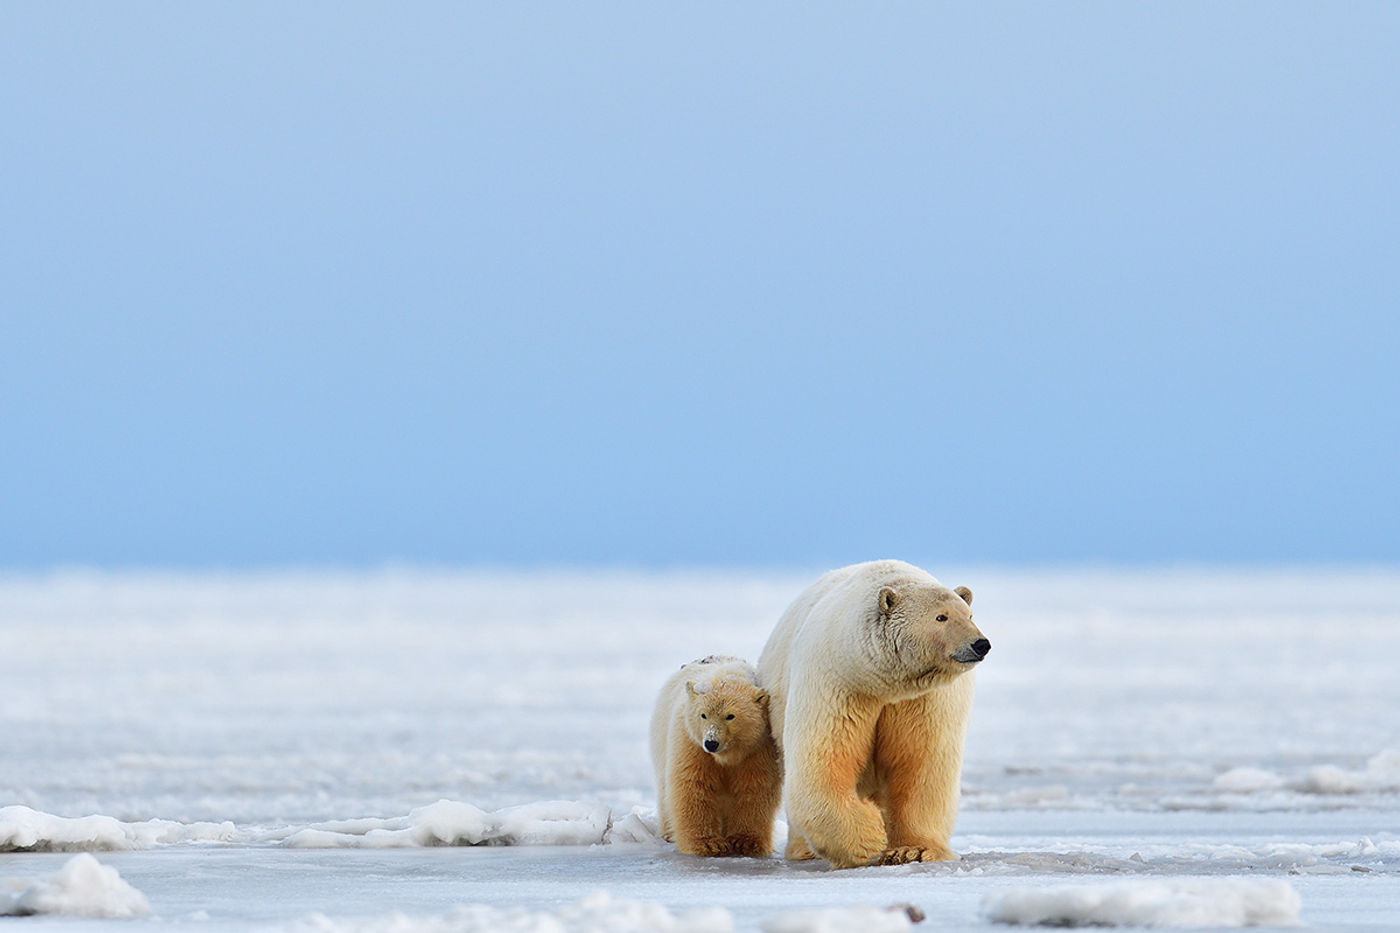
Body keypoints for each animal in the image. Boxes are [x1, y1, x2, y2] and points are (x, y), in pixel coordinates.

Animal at [646, 650, 784, 851]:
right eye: (703, 714)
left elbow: (755, 786)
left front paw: (745, 841)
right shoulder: (692, 743)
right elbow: (694, 784)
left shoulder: (758, 746)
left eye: (730, 716)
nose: (711, 743)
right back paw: (667, 835)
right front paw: (709, 843)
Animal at [761, 554, 991, 868]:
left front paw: (912, 850)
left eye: (969, 615)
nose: (980, 644)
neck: (886, 681)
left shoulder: (925, 700)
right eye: (941, 617)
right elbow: (826, 758)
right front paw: (869, 837)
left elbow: (921, 763)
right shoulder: (841, 682)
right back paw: (804, 850)